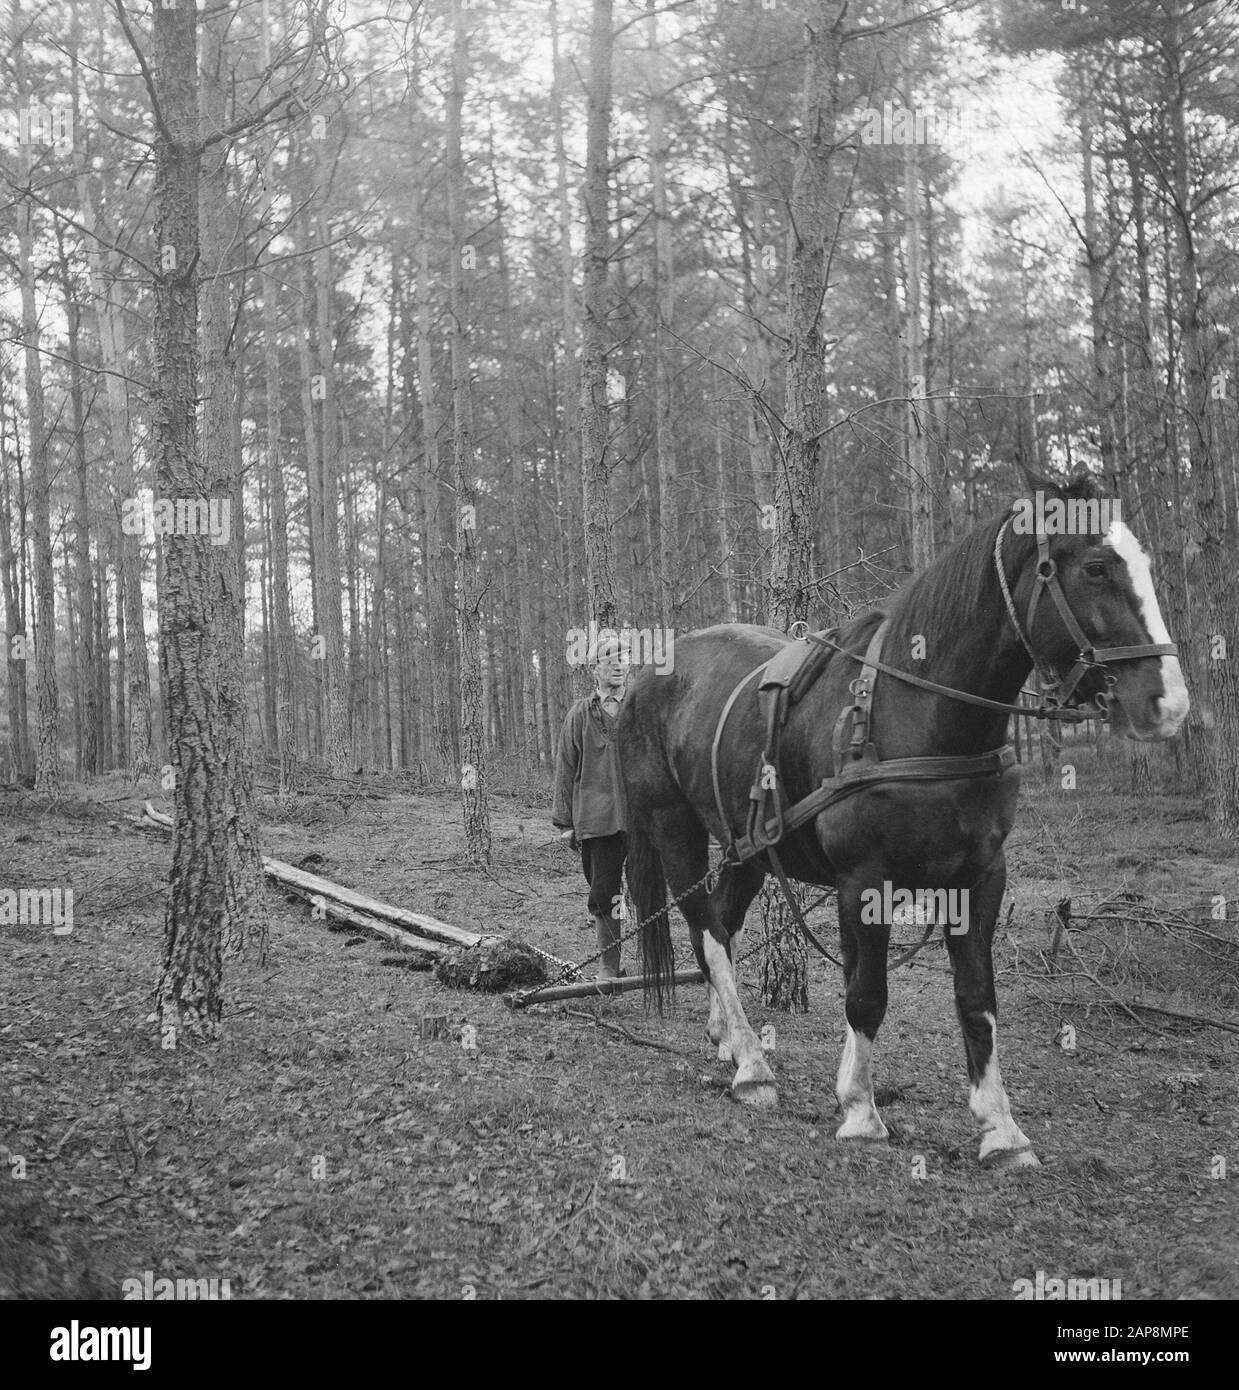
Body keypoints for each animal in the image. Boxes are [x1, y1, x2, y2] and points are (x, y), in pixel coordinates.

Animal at [618, 477, 1189, 1168]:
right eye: (1097, 568)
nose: (1167, 701)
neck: (920, 709)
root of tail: (649, 670)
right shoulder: (863, 881)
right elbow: (867, 994)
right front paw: (861, 1110)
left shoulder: (980, 877)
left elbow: (976, 999)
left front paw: (1000, 1128)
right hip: (673, 826)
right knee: (707, 931)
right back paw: (752, 1065)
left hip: (748, 843)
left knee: (723, 925)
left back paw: (729, 1038)